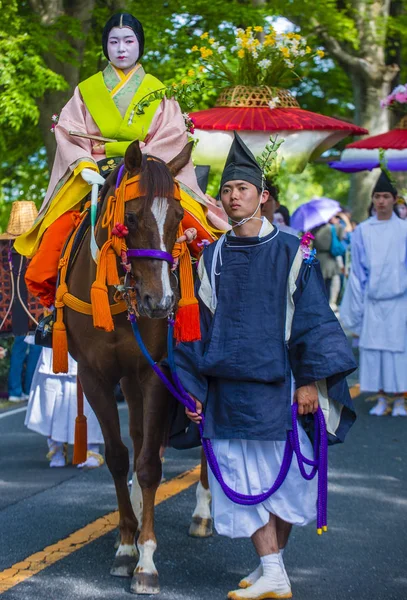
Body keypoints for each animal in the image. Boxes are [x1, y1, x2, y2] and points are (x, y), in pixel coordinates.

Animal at [65, 142, 212, 596]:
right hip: (127, 378)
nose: (160, 303)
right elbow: (117, 455)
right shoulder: (95, 375)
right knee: (139, 436)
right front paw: (126, 544)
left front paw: (145, 560)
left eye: (179, 217)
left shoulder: (156, 372)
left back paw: (203, 513)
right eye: (129, 219)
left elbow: (149, 465)